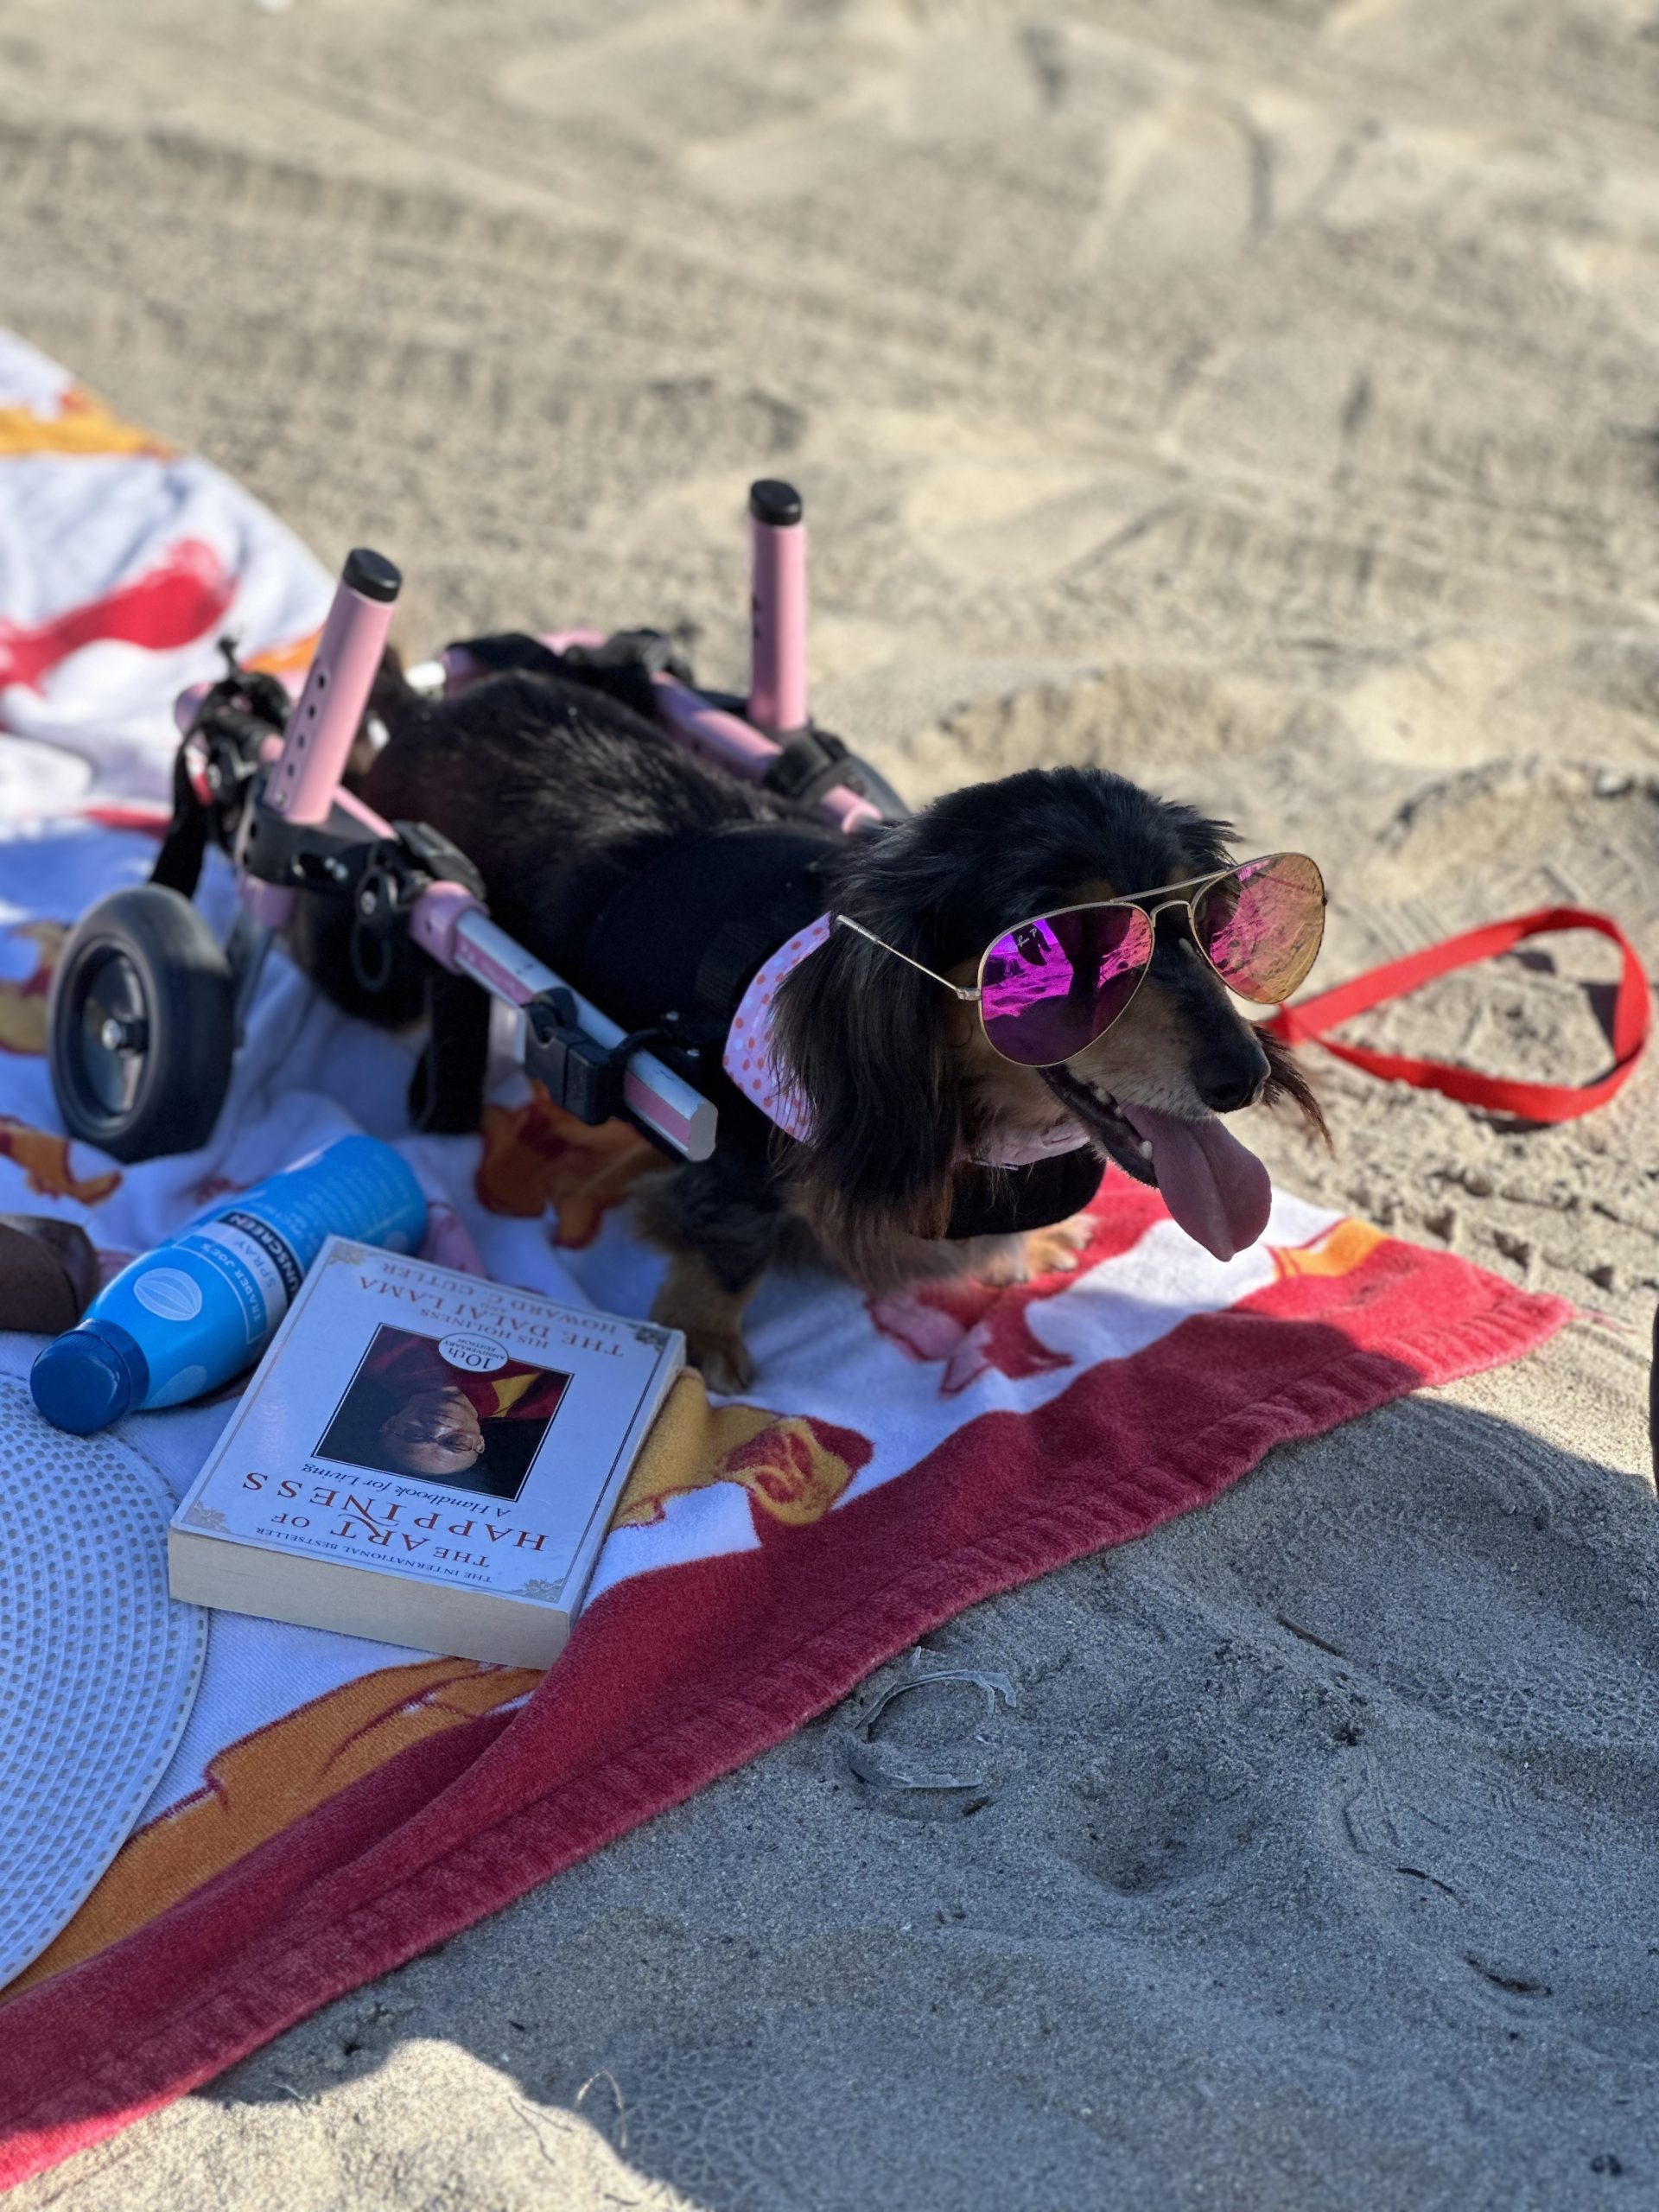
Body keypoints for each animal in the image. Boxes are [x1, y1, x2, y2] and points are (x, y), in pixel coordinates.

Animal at [353, 672, 1327, 1389]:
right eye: (1066, 948)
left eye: (1210, 918)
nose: (1243, 1078)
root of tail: (438, 706)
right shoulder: (731, 1147)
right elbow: (728, 1243)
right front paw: (702, 1341)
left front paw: (1029, 1241)